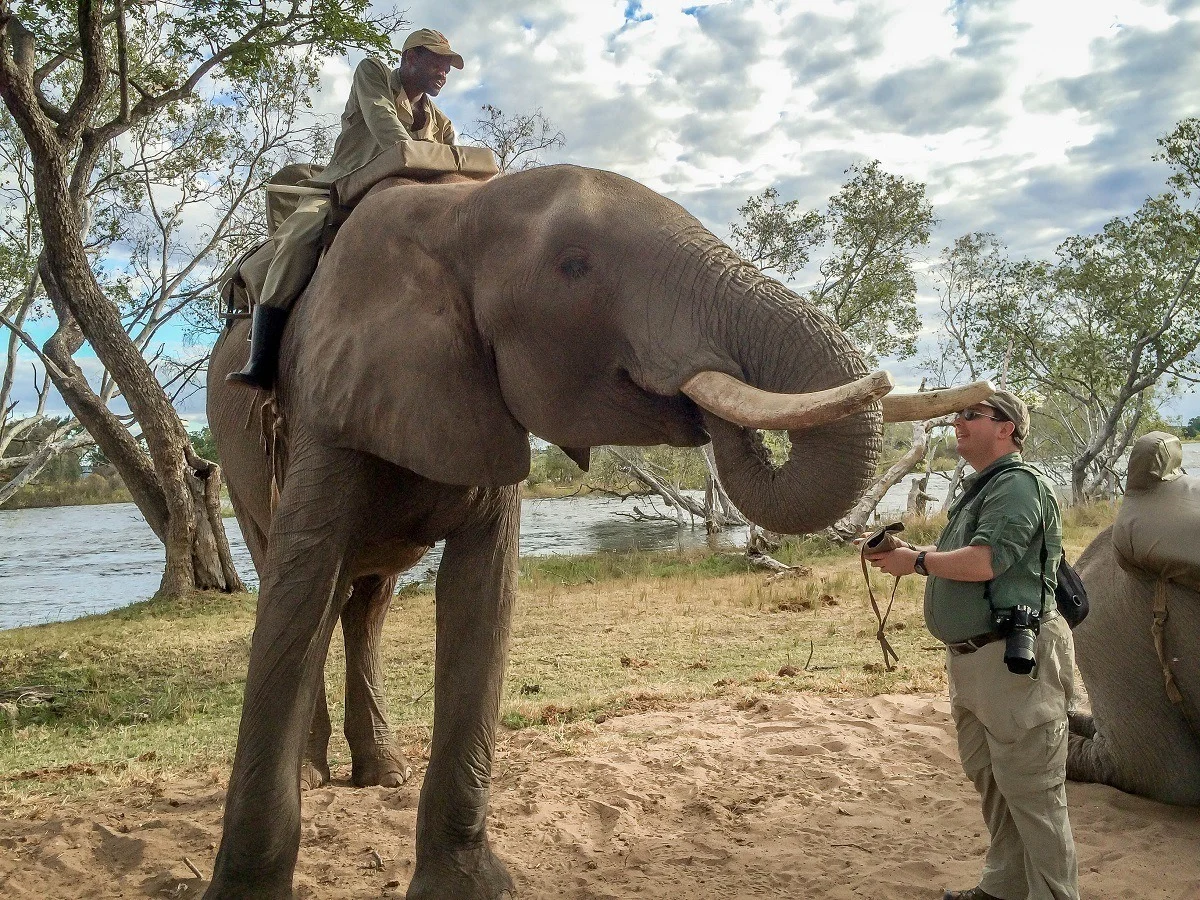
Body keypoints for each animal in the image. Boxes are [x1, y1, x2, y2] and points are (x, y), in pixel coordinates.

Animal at [204, 164, 984, 900]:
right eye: (573, 266)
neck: (454, 211)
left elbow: (483, 595)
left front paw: (468, 888)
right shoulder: (326, 402)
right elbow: (299, 592)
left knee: (366, 602)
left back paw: (381, 775)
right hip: (236, 456)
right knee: (310, 581)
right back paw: (319, 771)